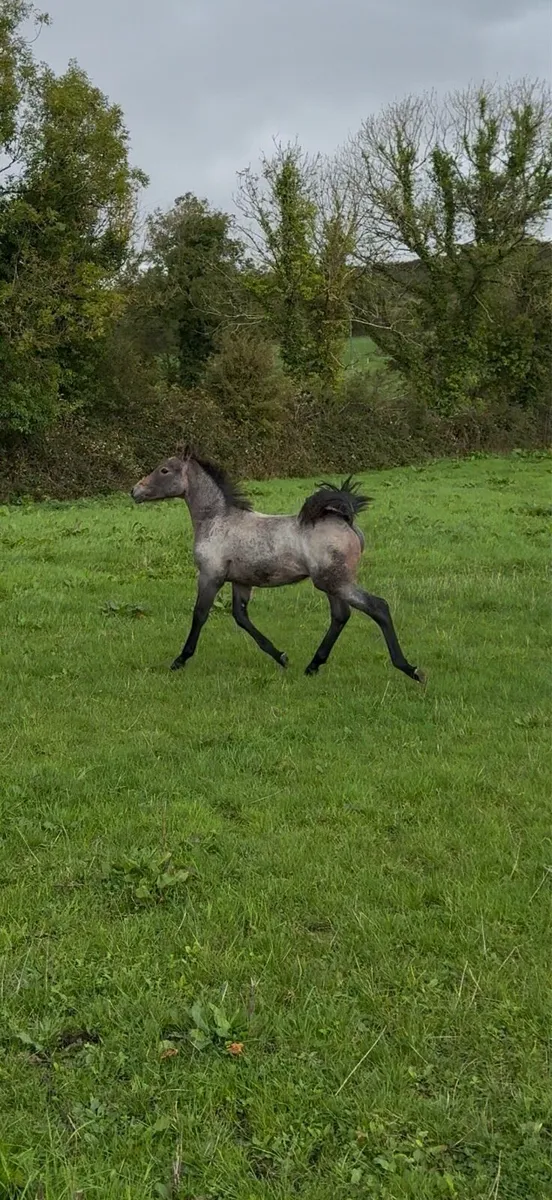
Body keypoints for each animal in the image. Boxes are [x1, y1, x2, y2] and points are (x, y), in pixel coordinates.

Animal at [131, 449, 425, 683]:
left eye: (164, 470)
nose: (135, 491)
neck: (217, 520)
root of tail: (345, 521)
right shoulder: (241, 581)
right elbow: (241, 617)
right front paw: (281, 657)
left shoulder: (210, 576)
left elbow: (200, 615)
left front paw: (179, 660)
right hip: (332, 584)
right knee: (341, 616)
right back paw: (313, 666)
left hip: (336, 582)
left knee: (378, 607)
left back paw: (410, 669)